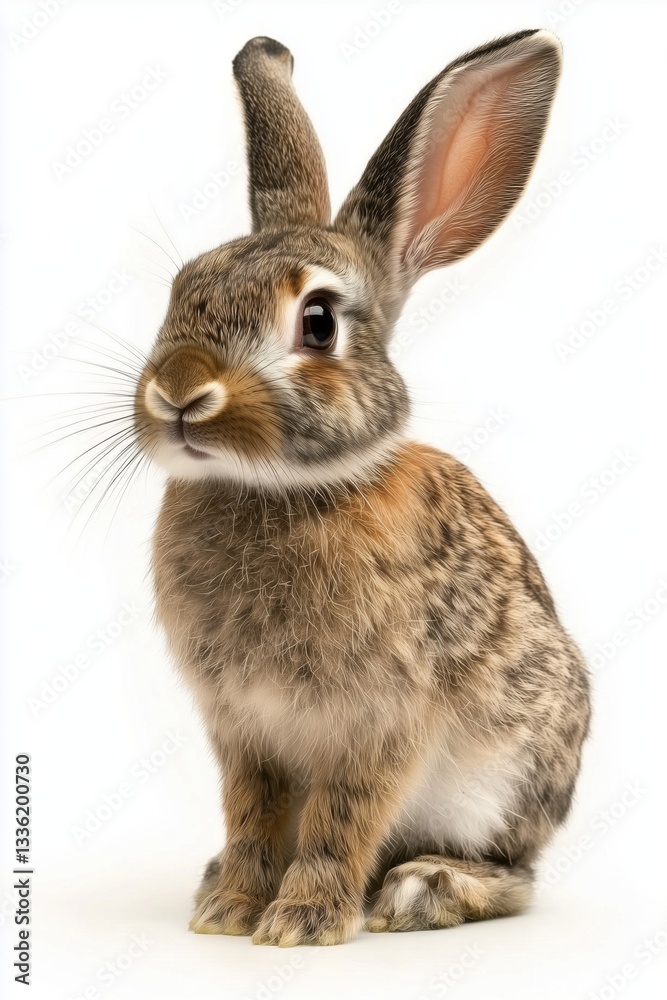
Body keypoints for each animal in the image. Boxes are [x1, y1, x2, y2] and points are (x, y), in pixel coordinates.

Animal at [133, 30, 590, 946]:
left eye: (317, 322)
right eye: (179, 291)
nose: (178, 391)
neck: (275, 488)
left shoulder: (379, 723)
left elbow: (341, 820)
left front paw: (302, 923)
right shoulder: (244, 731)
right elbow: (251, 815)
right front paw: (231, 911)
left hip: (506, 772)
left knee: (513, 876)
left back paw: (424, 889)